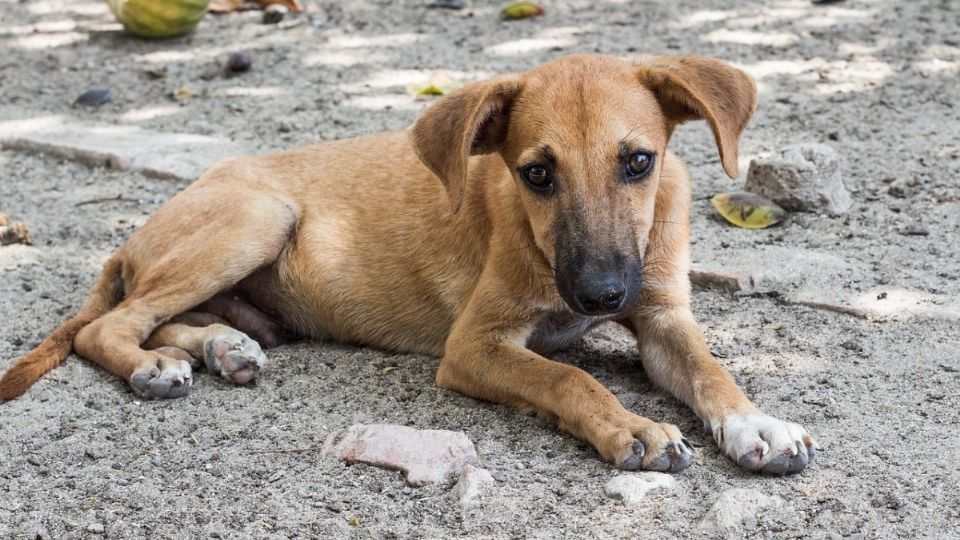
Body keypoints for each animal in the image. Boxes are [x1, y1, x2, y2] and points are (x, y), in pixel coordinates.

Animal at [0, 54, 812, 474]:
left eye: (639, 161)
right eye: (536, 174)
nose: (600, 295)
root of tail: (132, 236)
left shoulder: (664, 316)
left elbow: (712, 371)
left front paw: (757, 425)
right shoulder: (474, 347)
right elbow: (567, 377)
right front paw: (631, 427)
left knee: (171, 319)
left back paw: (223, 348)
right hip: (258, 217)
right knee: (108, 326)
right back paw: (152, 366)